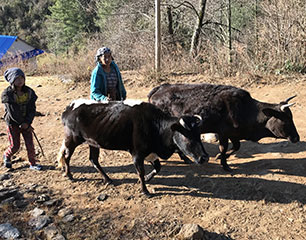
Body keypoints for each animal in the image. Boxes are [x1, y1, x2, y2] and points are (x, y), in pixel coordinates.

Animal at [57, 98, 209, 196]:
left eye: (198, 134)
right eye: (186, 136)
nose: (204, 157)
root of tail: (69, 107)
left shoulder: (151, 153)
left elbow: (158, 168)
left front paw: (147, 179)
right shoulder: (137, 153)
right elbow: (140, 171)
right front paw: (145, 190)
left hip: (93, 142)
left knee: (93, 159)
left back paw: (108, 179)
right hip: (72, 139)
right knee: (67, 156)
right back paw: (69, 175)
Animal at [148, 83, 298, 172]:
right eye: (286, 119)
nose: (297, 138)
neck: (246, 110)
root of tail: (161, 87)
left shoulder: (233, 134)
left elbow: (236, 147)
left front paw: (220, 157)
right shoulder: (224, 133)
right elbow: (224, 147)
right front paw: (225, 164)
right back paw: (184, 158)